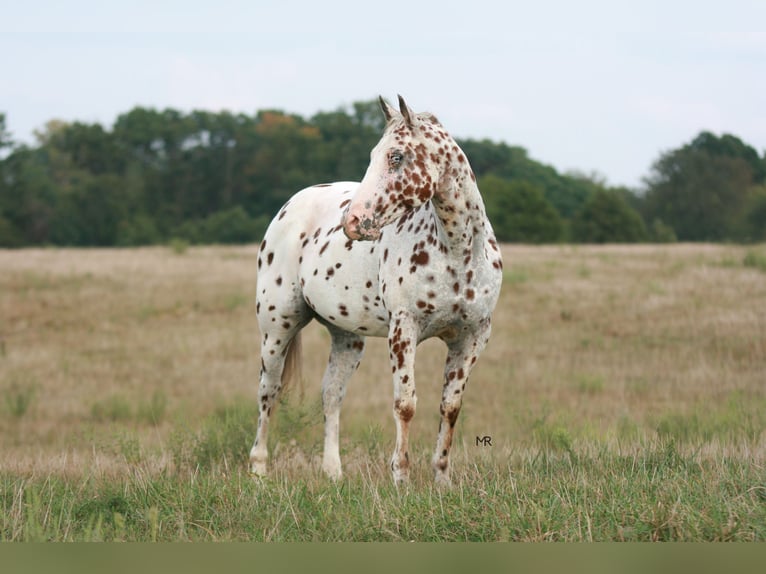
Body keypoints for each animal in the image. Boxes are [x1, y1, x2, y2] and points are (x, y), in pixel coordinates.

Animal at [250, 95, 503, 486]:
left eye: (396, 156)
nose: (353, 222)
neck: (458, 252)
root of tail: (290, 206)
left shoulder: (473, 337)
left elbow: (450, 408)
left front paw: (443, 481)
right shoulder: (404, 331)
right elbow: (406, 404)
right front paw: (401, 479)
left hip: (347, 338)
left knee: (331, 395)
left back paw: (333, 474)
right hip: (277, 328)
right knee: (269, 391)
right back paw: (259, 471)